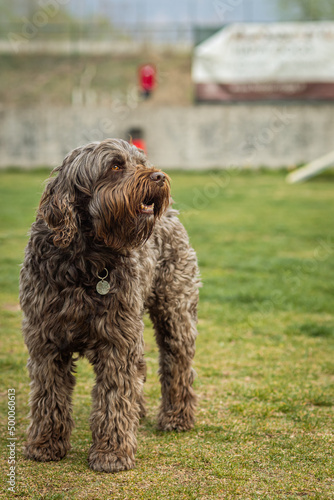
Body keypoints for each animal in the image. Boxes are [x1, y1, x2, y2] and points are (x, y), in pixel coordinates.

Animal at [19, 138, 200, 472]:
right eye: (115, 166)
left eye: (142, 162)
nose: (158, 176)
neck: (85, 257)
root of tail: (171, 215)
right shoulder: (44, 340)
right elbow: (48, 394)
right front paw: (45, 444)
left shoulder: (116, 339)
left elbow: (114, 396)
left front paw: (112, 453)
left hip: (175, 312)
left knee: (178, 363)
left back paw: (177, 417)